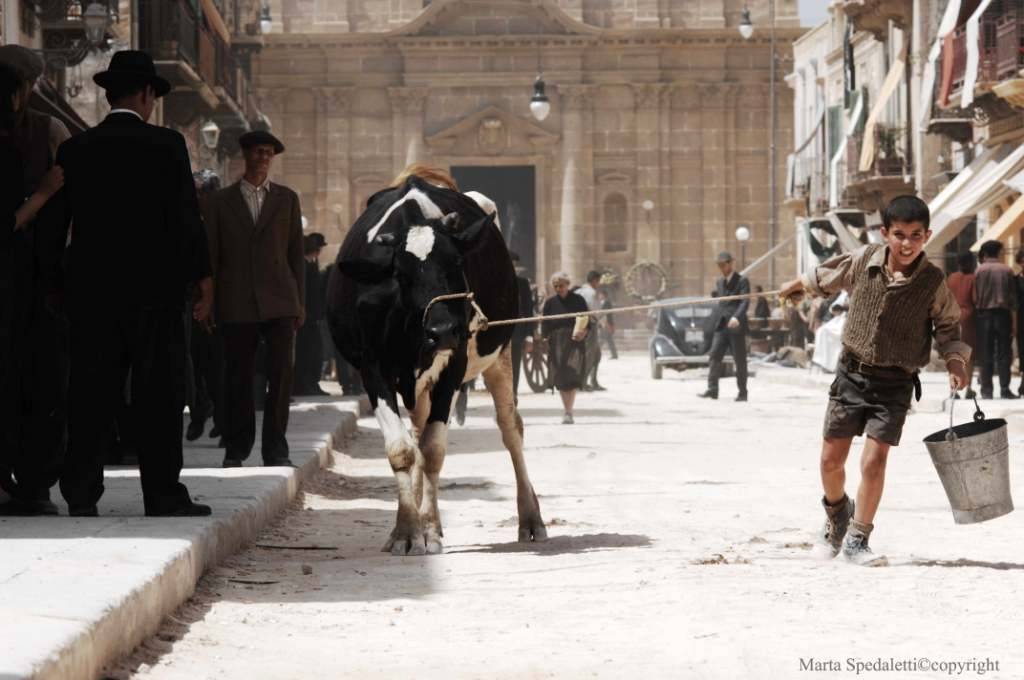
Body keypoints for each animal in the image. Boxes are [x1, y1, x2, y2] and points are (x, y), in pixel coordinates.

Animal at [327, 173, 548, 557]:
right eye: (401, 274)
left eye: (457, 265)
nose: (444, 329)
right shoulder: (372, 368)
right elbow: (403, 450)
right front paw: (406, 530)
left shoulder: (454, 366)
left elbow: (432, 451)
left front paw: (426, 530)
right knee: (417, 433)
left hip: (501, 351)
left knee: (510, 428)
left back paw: (530, 518)